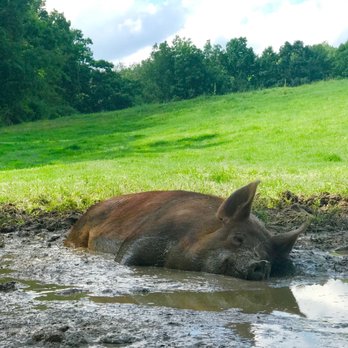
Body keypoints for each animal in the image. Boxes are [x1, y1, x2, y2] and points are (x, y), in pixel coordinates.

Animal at [64, 181, 308, 282]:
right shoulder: (142, 237)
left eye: (268, 256)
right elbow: (123, 260)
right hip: (78, 233)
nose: (262, 264)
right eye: (238, 238)